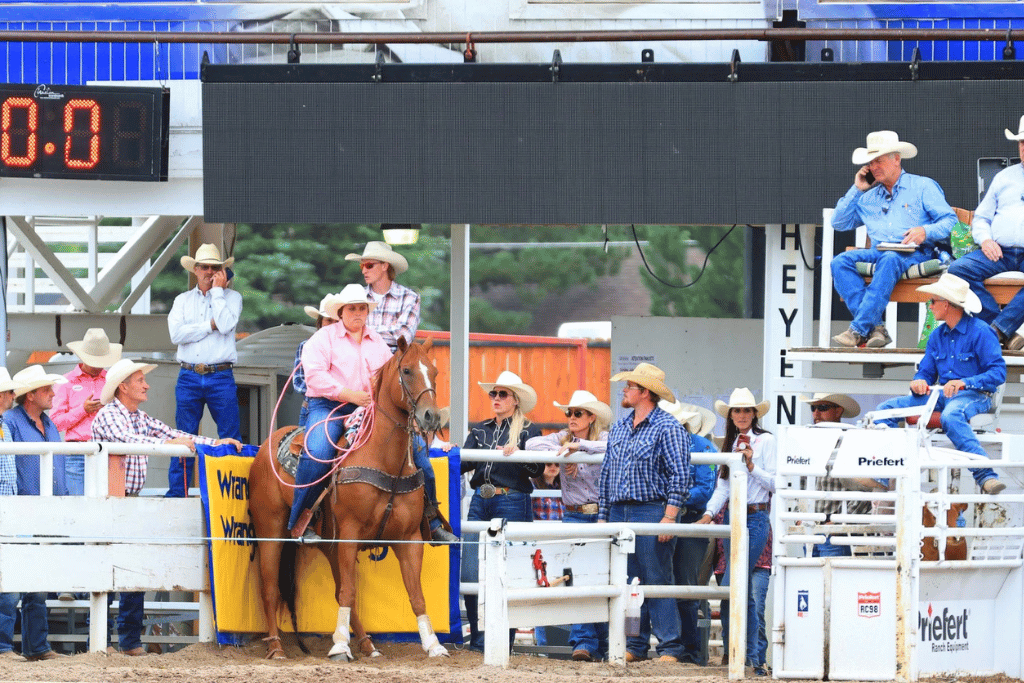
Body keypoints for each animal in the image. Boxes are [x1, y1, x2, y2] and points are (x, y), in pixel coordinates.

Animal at [248, 339, 448, 659]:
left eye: (434, 371)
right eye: (406, 370)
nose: (431, 416)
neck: (382, 458)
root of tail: (266, 446)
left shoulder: (408, 538)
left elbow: (416, 595)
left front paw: (433, 645)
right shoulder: (350, 533)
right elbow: (350, 592)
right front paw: (340, 646)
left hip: (331, 544)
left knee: (340, 590)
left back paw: (368, 644)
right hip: (271, 531)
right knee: (269, 588)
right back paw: (277, 648)